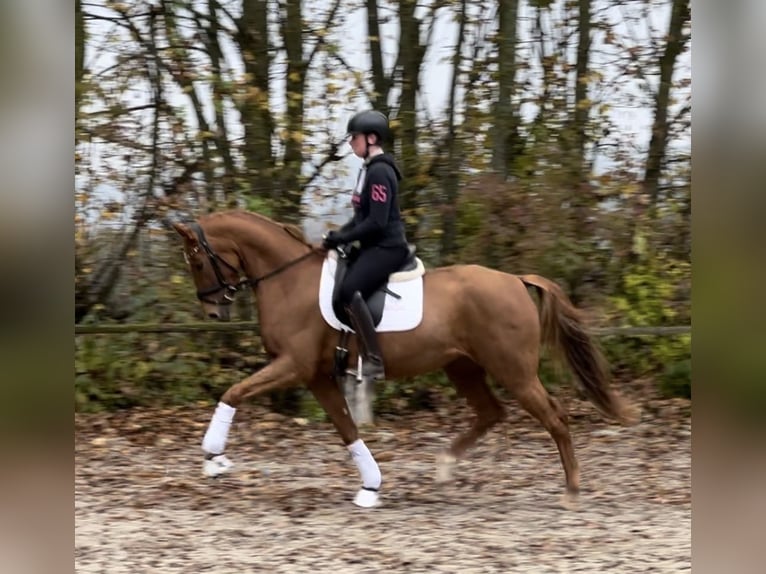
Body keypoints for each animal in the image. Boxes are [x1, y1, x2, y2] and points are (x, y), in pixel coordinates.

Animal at [171, 210, 640, 508]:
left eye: (196, 260)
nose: (213, 312)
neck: (289, 280)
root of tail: (515, 279)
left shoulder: (295, 366)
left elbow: (235, 392)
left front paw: (214, 458)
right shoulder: (318, 376)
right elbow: (346, 430)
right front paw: (371, 488)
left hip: (514, 371)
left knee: (555, 417)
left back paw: (572, 491)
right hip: (462, 366)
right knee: (491, 412)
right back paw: (446, 467)